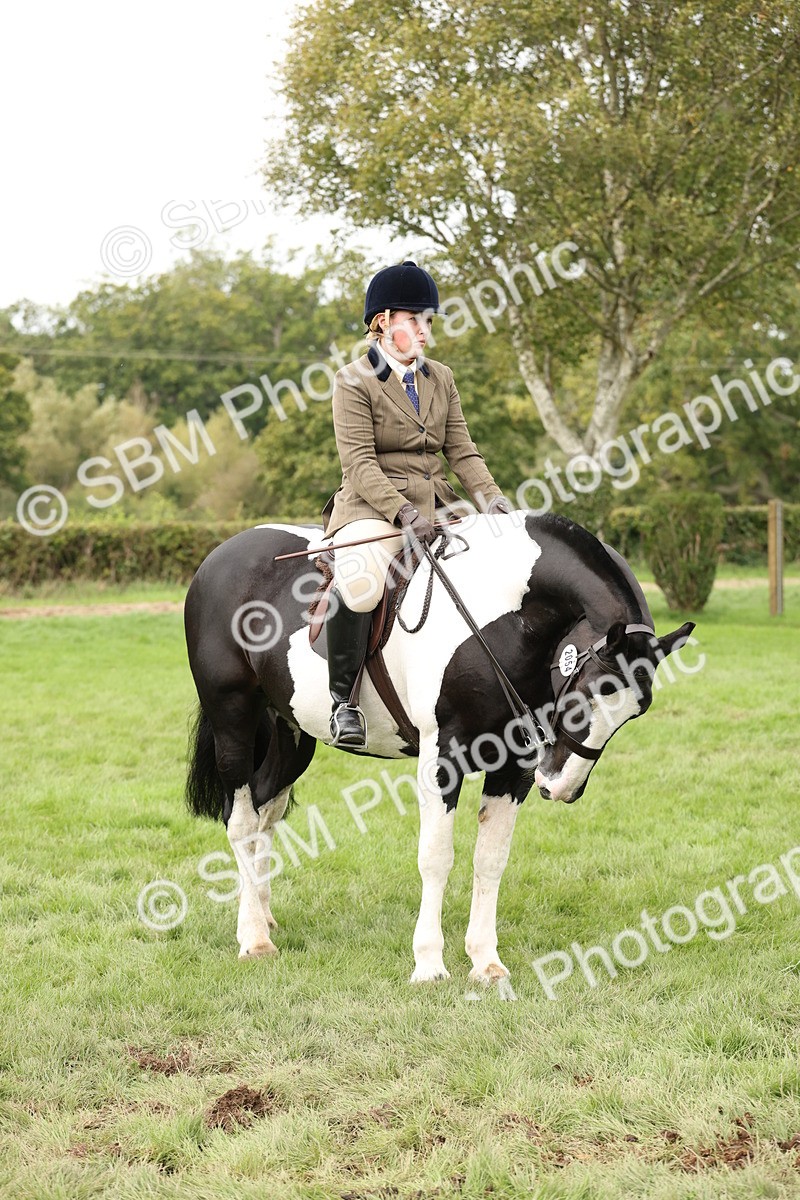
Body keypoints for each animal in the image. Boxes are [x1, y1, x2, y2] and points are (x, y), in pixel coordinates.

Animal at [184, 510, 694, 988]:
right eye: (589, 693)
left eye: (635, 712)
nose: (561, 787)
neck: (504, 612)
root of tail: (219, 556)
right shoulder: (441, 758)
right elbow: (435, 856)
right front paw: (429, 964)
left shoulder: (515, 765)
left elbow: (491, 858)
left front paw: (486, 962)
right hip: (233, 718)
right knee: (241, 820)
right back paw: (253, 938)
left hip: (289, 731)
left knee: (266, 810)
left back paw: (261, 914)